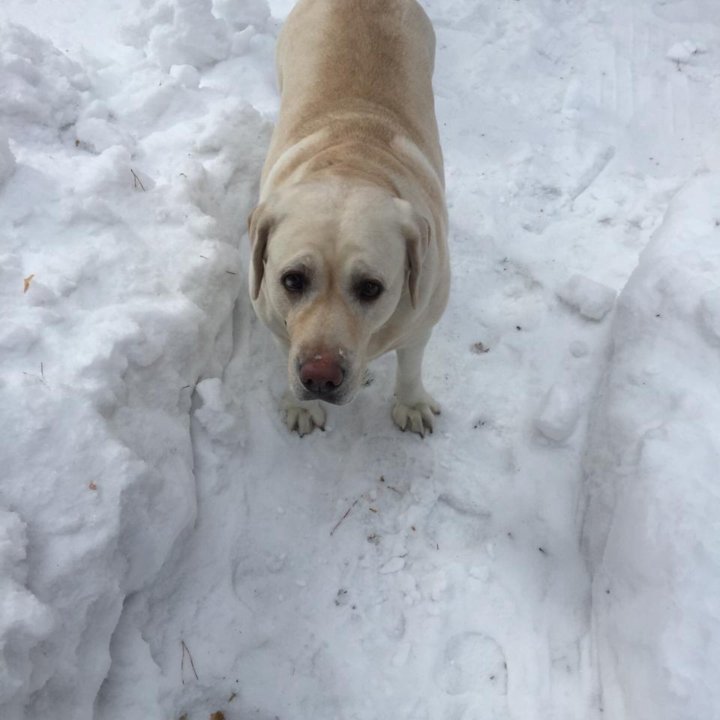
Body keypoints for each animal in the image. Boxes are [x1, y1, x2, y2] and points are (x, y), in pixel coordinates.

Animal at [250, 0, 448, 436]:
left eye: (371, 288)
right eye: (292, 280)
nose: (320, 376)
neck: (354, 161)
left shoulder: (421, 321)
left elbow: (411, 366)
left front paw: (410, 404)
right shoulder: (275, 322)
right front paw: (301, 407)